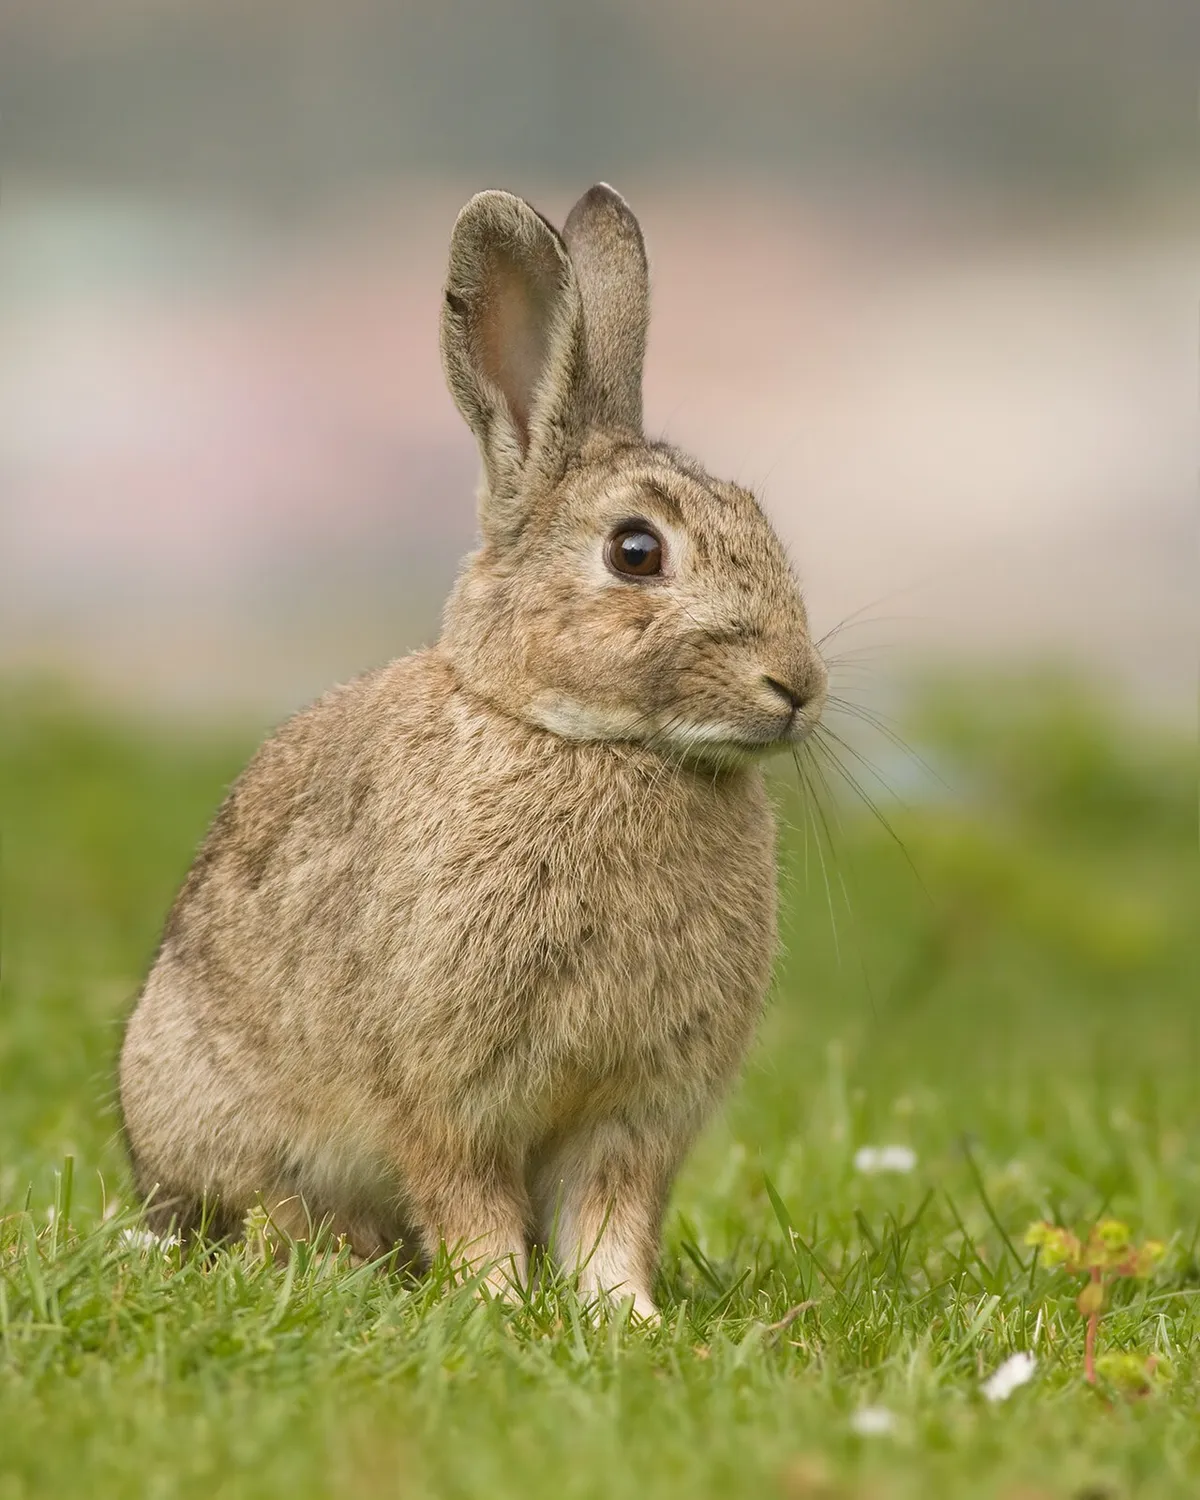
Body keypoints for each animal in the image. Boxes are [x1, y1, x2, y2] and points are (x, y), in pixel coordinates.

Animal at [119, 183, 828, 1320]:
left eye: (759, 518)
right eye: (636, 551)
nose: (796, 687)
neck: (588, 740)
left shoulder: (635, 1112)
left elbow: (611, 1217)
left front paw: (624, 1318)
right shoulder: (448, 1093)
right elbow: (469, 1200)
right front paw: (497, 1303)